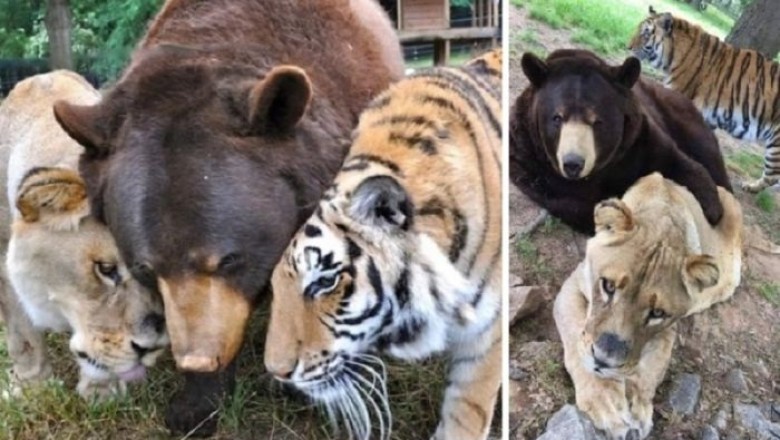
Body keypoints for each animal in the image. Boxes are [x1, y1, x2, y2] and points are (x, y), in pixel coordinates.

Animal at [509, 49, 731, 233]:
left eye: (597, 121)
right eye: (557, 117)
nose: (573, 163)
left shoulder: (638, 140)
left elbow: (678, 161)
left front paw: (713, 208)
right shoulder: (530, 158)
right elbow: (573, 202)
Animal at [553, 172, 742, 439]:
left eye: (656, 313)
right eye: (608, 286)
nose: (604, 361)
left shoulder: (669, 327)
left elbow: (656, 362)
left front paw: (638, 404)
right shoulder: (571, 288)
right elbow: (575, 340)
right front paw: (606, 402)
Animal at [628, 7, 780, 193]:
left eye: (645, 34)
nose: (628, 47)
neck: (673, 54)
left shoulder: (677, 97)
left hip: (776, 146)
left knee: (772, 176)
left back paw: (750, 187)